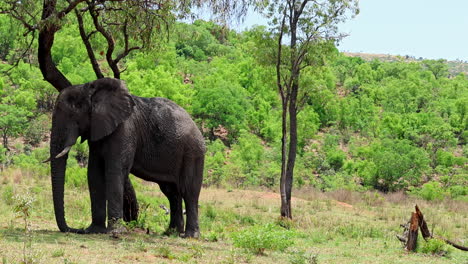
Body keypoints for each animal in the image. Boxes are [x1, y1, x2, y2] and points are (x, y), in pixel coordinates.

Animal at [47, 77, 205, 238]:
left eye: (77, 108)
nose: (78, 230)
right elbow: (94, 173)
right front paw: (95, 230)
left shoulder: (124, 129)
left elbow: (115, 171)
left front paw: (114, 232)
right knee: (171, 192)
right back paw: (171, 233)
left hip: (192, 153)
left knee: (188, 191)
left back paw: (190, 236)